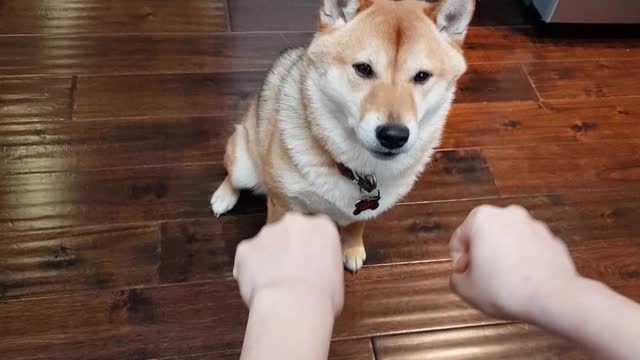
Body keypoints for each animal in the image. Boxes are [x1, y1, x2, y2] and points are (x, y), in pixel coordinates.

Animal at [212, 0, 472, 270]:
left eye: (422, 76)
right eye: (363, 69)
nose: (394, 135)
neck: (355, 170)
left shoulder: (367, 207)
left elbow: (356, 226)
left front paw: (352, 248)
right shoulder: (282, 203)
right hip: (244, 164)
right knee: (232, 176)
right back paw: (223, 196)